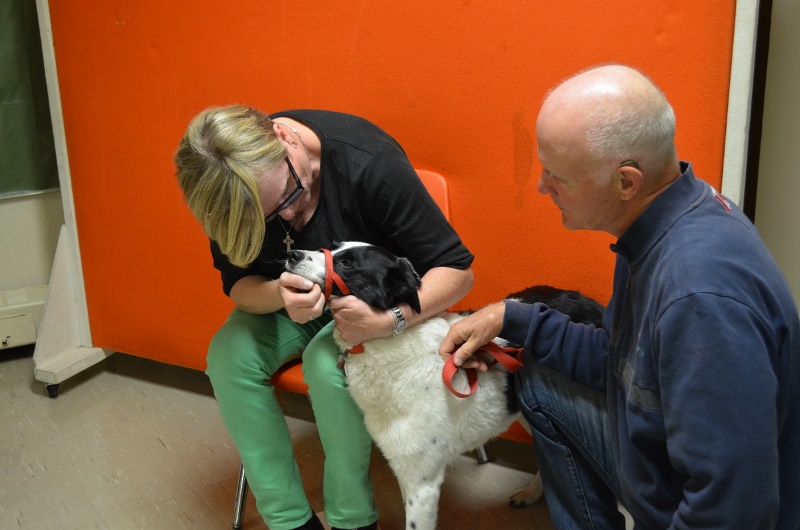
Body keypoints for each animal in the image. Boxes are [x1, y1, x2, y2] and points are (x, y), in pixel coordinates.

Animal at [284, 241, 604, 524]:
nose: (291, 253)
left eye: (347, 264)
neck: (387, 345)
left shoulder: (421, 485)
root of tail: (593, 305)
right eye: (332, 246)